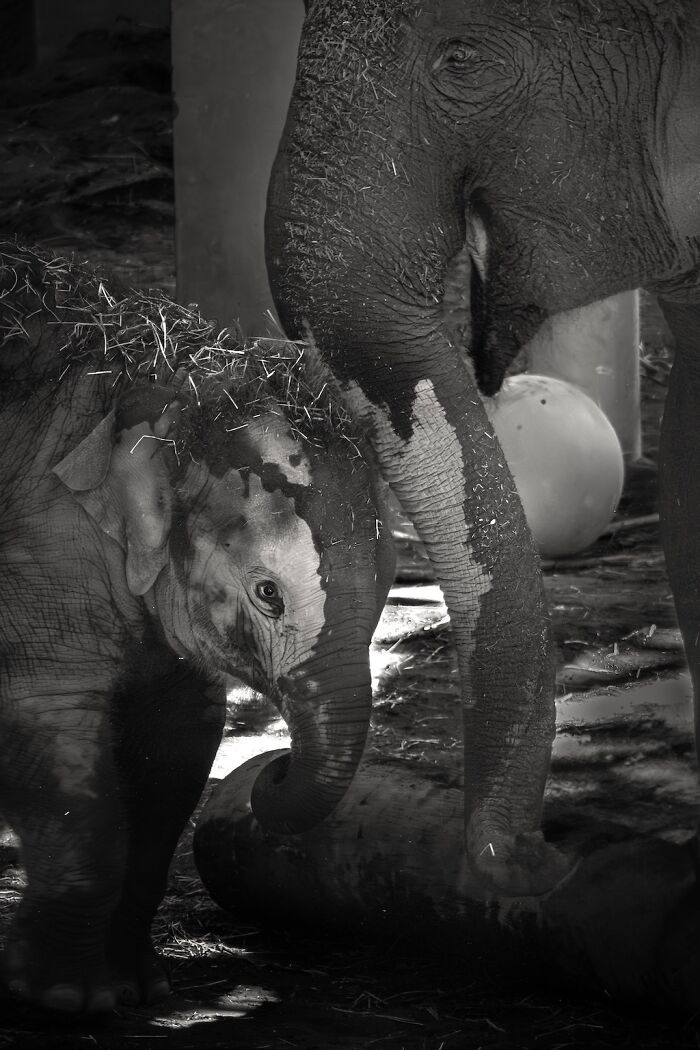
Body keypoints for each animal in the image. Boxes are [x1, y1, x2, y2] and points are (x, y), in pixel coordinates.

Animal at [0, 243, 394, 1012]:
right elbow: (62, 759)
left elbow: (175, 755)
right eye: (267, 594)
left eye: (394, 582)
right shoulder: (40, 562)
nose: (271, 768)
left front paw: (142, 988)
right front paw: (64, 1000)